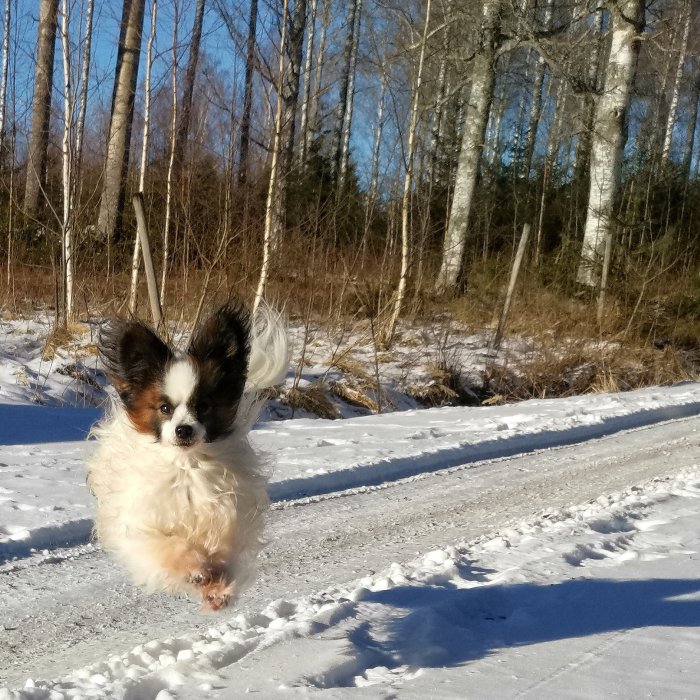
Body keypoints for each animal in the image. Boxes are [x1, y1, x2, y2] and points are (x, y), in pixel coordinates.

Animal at [87, 304, 288, 608]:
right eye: (164, 408)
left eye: (203, 406)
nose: (183, 430)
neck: (186, 464)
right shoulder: (143, 525)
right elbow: (167, 546)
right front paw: (195, 570)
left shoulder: (227, 515)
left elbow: (225, 550)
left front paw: (219, 587)